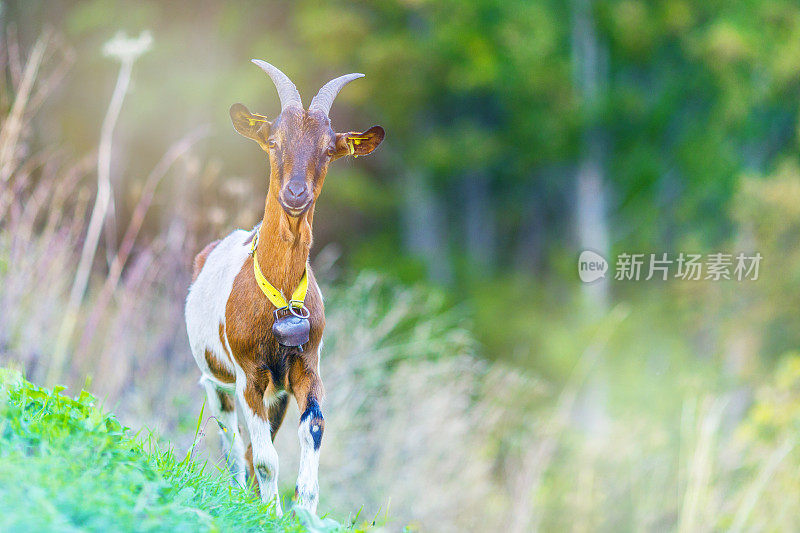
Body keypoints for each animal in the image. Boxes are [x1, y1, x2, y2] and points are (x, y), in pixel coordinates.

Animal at [184, 59, 384, 516]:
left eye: (329, 149)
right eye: (273, 141)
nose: (295, 194)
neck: (276, 293)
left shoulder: (306, 368)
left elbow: (313, 429)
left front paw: (304, 512)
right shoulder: (250, 374)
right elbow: (265, 459)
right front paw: (269, 514)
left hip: (277, 394)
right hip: (216, 381)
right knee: (232, 442)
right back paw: (239, 492)